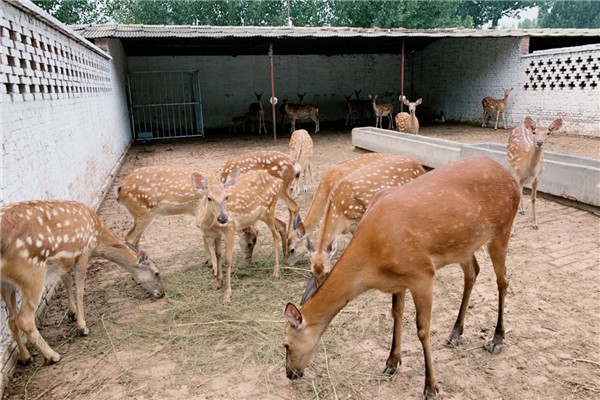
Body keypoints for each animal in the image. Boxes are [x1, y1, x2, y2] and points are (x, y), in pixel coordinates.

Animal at [0, 202, 164, 364]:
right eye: (157, 273)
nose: (162, 293)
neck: (97, 237)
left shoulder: (66, 260)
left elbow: (67, 281)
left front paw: (71, 313)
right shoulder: (84, 252)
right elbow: (80, 290)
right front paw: (82, 327)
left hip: (6, 283)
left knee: (11, 320)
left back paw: (25, 357)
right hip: (31, 274)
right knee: (24, 319)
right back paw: (53, 355)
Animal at [192, 170, 286, 304]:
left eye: (226, 197)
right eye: (209, 198)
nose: (223, 218)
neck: (209, 225)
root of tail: (279, 181)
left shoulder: (230, 229)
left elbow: (227, 260)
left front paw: (227, 295)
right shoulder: (217, 235)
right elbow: (218, 255)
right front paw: (218, 283)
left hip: (269, 209)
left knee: (276, 234)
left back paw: (276, 272)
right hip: (266, 213)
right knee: (281, 226)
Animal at [300, 155, 426, 300]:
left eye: (327, 272)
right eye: (312, 272)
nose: (317, 290)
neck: (339, 212)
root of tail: (420, 167)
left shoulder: (360, 215)